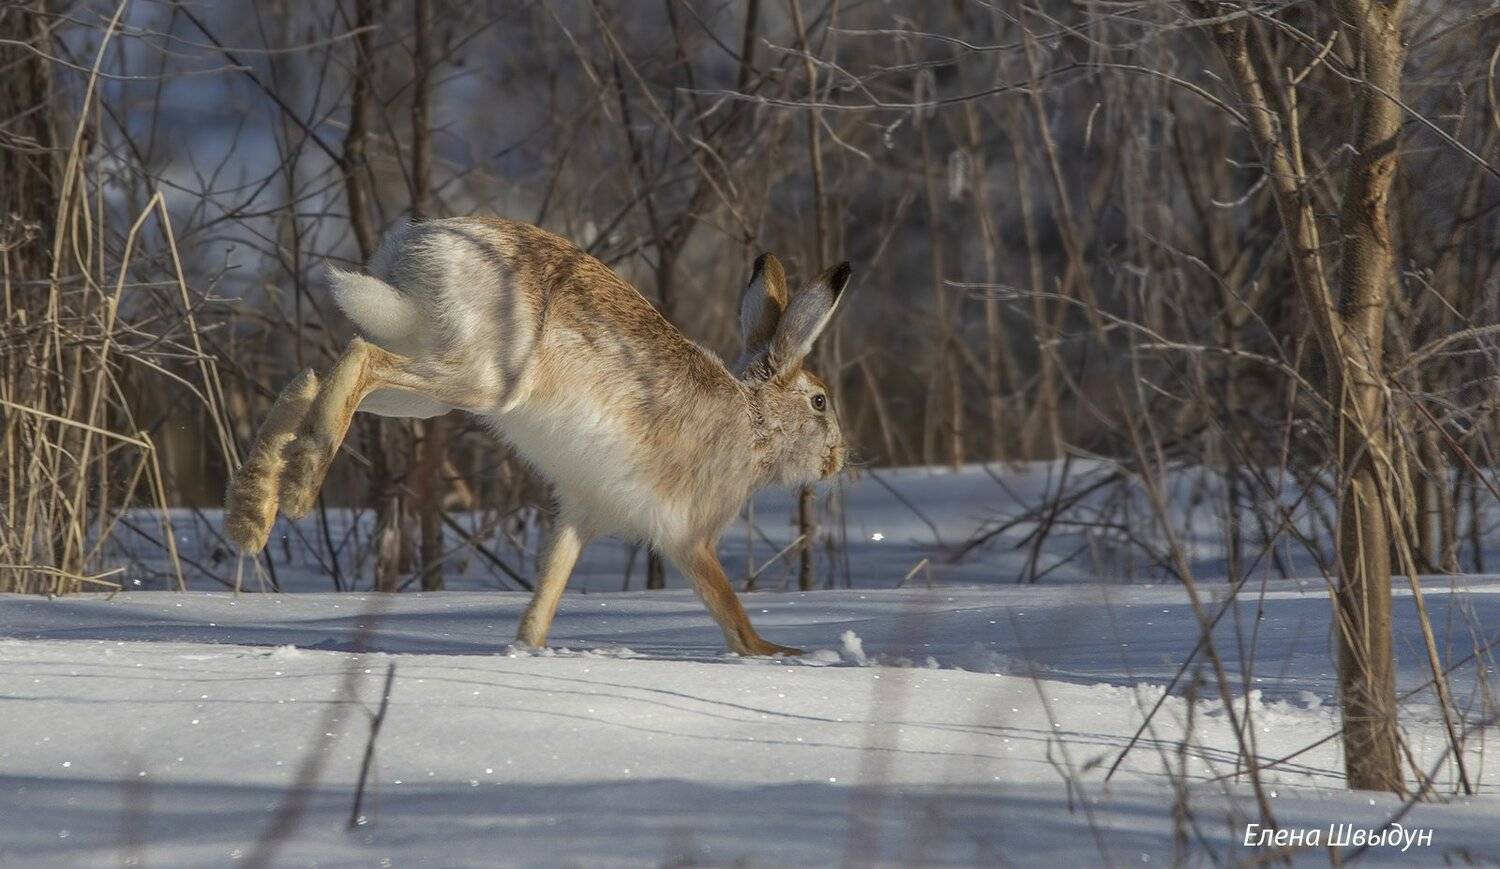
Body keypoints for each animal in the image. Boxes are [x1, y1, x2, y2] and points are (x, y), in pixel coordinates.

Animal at [225, 216, 851, 656]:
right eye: (820, 402)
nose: (838, 461)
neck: (755, 424)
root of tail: (421, 246)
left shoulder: (581, 512)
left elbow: (548, 589)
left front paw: (529, 648)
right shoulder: (690, 535)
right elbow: (730, 613)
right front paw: (783, 654)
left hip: (429, 389)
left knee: (309, 378)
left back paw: (251, 514)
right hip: (482, 381)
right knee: (360, 358)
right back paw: (301, 486)